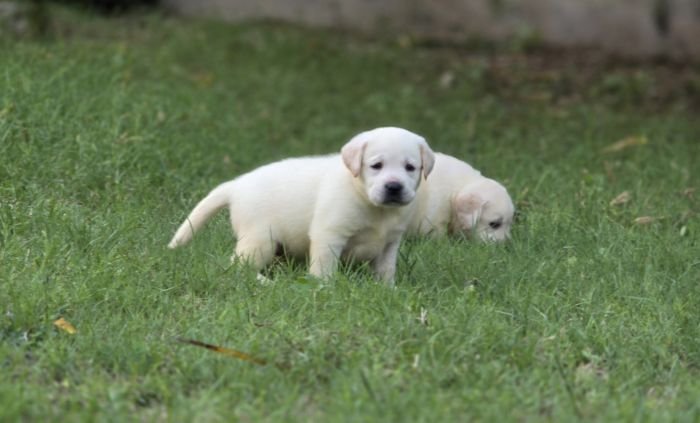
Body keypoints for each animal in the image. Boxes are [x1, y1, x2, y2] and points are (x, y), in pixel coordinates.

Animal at [168, 126, 432, 284]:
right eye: (376, 166)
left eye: (410, 167)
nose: (394, 187)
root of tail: (236, 185)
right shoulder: (329, 235)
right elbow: (324, 267)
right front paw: (324, 288)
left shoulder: (390, 244)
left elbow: (386, 270)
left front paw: (387, 290)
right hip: (259, 240)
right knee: (237, 267)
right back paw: (264, 282)